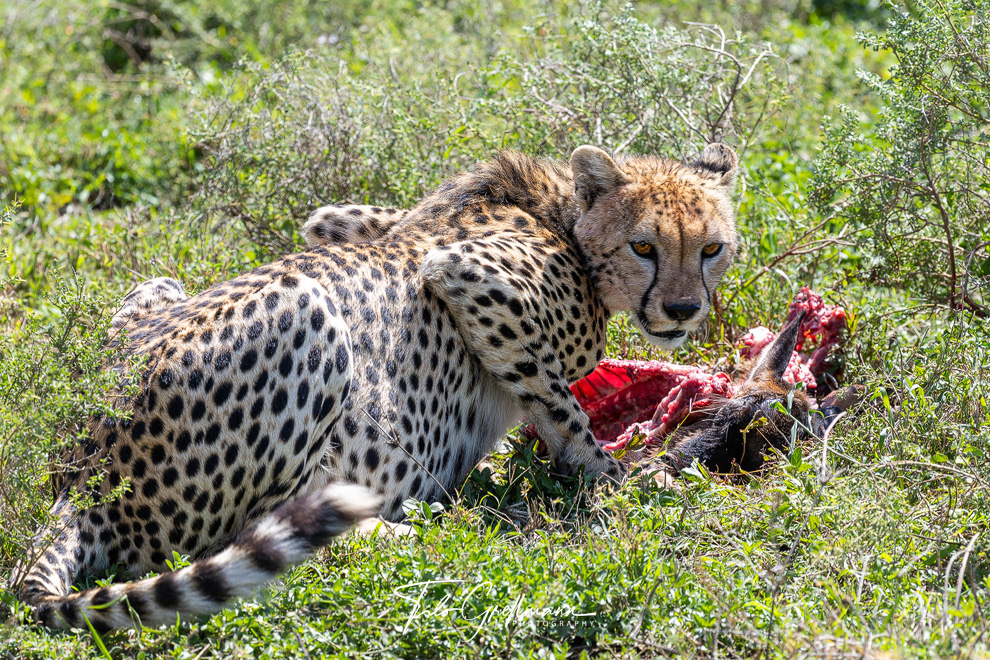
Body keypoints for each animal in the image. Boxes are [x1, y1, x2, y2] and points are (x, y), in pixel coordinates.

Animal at [13, 143, 740, 631]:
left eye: (712, 249)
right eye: (644, 247)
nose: (683, 310)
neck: (559, 213)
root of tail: (80, 476)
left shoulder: (344, 221)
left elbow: (346, 222)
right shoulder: (470, 277)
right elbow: (562, 407)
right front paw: (616, 478)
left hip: (160, 286)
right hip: (305, 308)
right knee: (245, 541)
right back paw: (423, 524)